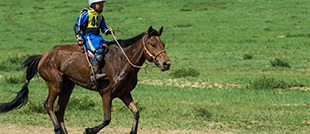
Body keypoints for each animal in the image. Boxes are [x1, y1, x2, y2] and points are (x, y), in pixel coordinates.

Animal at [0, 26, 172, 134]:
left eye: (163, 44)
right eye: (153, 44)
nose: (167, 64)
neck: (123, 60)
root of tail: (44, 55)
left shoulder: (124, 94)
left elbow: (136, 113)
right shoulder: (106, 94)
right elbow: (107, 119)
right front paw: (89, 130)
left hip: (68, 86)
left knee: (59, 110)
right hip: (55, 85)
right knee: (48, 105)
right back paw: (57, 130)